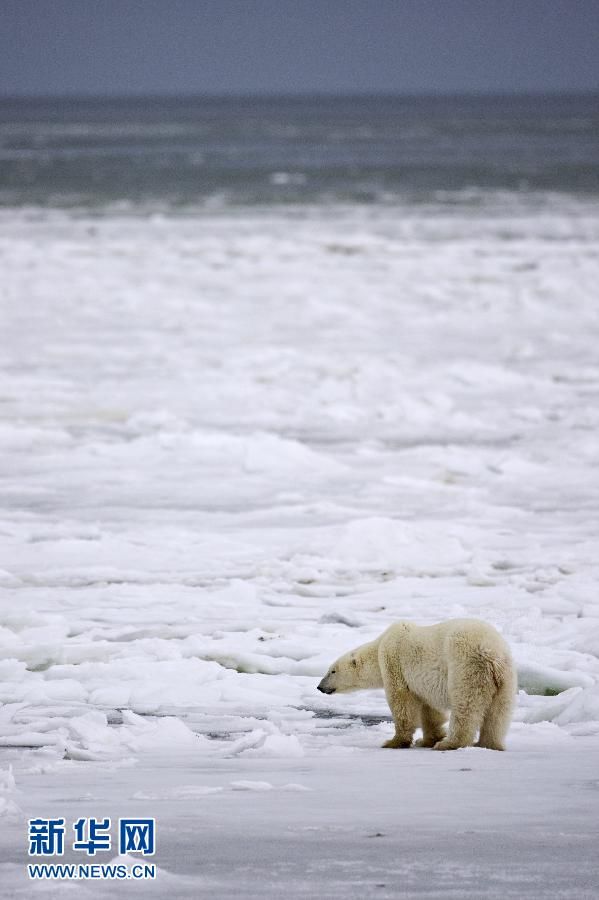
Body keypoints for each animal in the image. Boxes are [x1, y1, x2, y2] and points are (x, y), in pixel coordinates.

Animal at [316, 620, 516, 752]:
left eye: (332, 671)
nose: (319, 687)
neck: (380, 645)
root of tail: (492, 654)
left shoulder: (394, 662)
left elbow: (401, 702)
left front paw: (394, 742)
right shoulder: (424, 683)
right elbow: (430, 710)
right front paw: (427, 740)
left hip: (466, 668)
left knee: (465, 707)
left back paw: (450, 743)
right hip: (505, 679)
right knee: (498, 714)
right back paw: (488, 744)